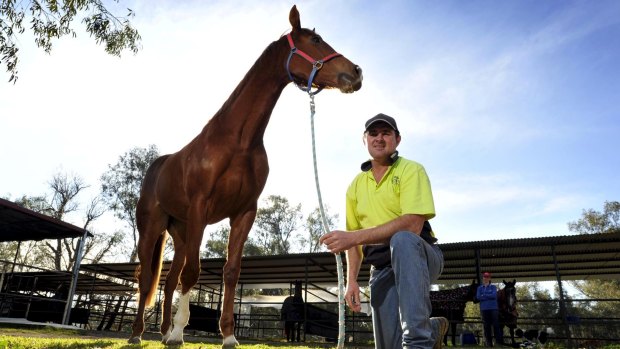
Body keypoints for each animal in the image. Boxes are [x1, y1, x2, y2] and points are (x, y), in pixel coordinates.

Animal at [128, 6, 360, 348]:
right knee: (147, 278)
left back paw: (164, 332)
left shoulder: (244, 212)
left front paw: (228, 335)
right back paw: (138, 334)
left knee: (169, 281)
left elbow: (231, 271)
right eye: (315, 40)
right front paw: (182, 331)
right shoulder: (201, 209)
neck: (238, 141)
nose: (356, 72)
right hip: (152, 228)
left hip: (181, 233)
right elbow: (194, 273)